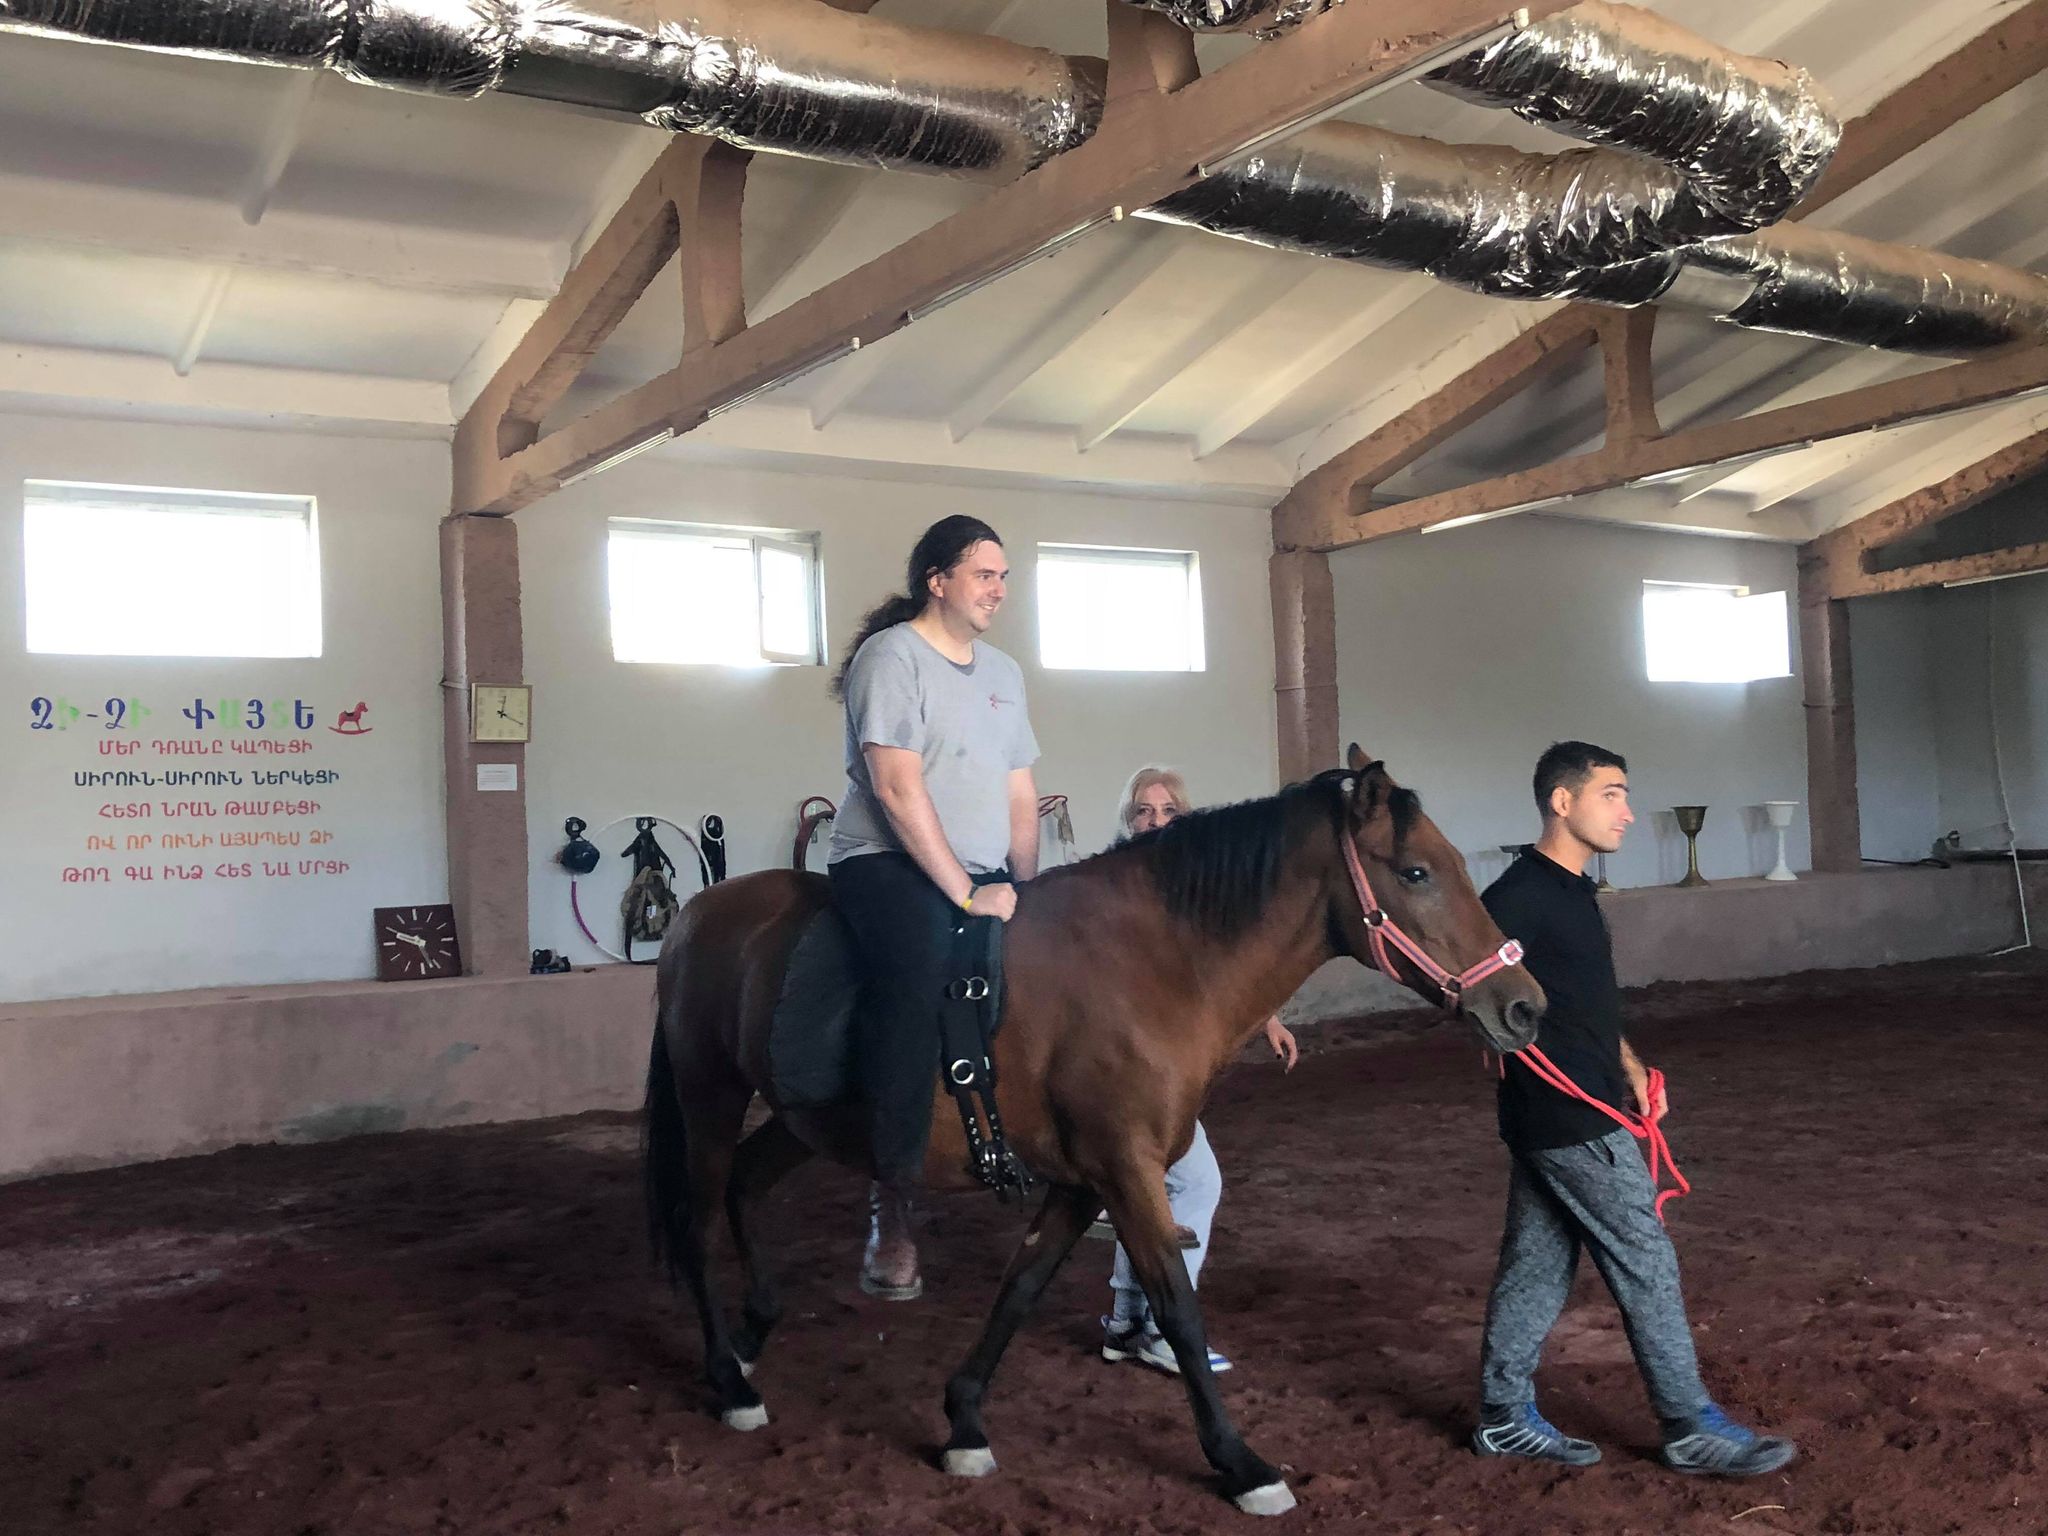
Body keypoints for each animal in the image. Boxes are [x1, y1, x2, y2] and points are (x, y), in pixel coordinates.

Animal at [642, 745, 1545, 1515]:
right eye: (1416, 872)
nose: (1523, 1007)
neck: (1156, 962)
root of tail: (695, 917)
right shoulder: (1126, 1171)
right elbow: (1177, 1307)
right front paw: (1241, 1464)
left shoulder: (1081, 1183)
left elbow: (1022, 1288)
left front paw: (964, 1424)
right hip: (711, 1096)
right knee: (695, 1218)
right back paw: (730, 1380)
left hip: (803, 1122)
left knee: (743, 1188)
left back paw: (753, 1333)